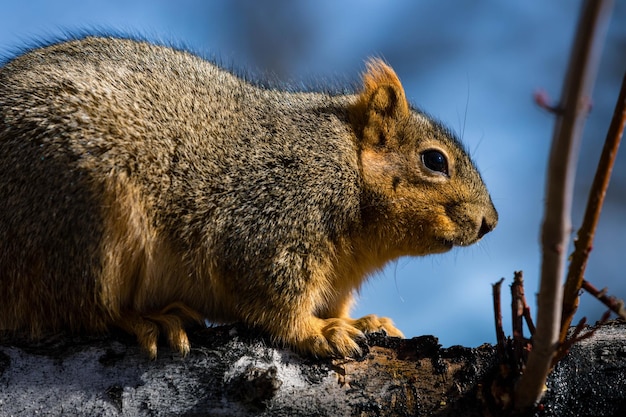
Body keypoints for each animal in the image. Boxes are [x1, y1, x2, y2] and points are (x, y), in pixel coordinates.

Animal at [0, 35, 498, 358]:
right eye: (434, 161)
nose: (490, 222)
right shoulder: (275, 215)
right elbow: (272, 295)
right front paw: (319, 330)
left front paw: (363, 322)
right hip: (83, 219)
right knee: (78, 309)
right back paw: (146, 319)